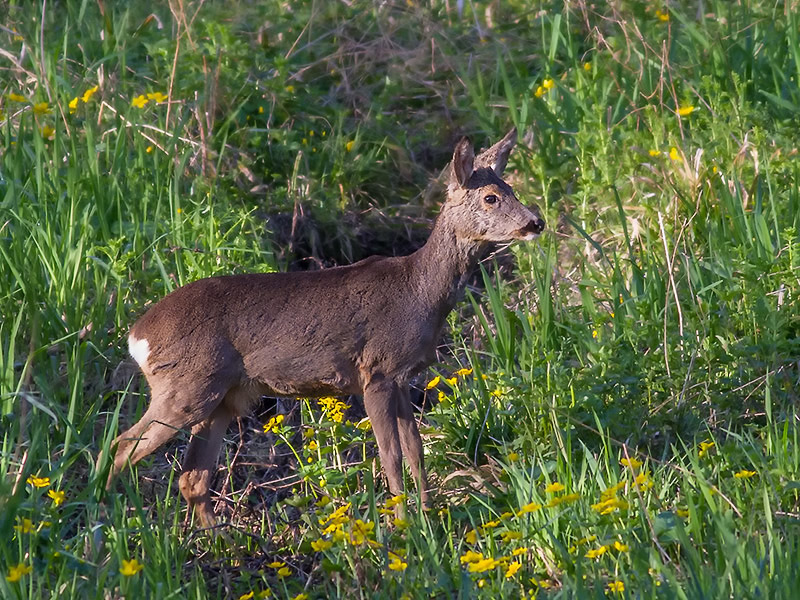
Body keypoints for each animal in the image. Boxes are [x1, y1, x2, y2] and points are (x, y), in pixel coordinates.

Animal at [104, 127, 544, 524]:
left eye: (510, 188)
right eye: (491, 197)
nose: (535, 223)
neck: (419, 291)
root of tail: (137, 335)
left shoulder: (403, 378)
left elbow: (416, 450)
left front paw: (430, 516)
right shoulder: (376, 372)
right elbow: (391, 455)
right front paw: (405, 526)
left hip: (221, 397)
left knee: (192, 476)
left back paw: (218, 541)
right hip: (185, 386)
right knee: (123, 446)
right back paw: (111, 519)